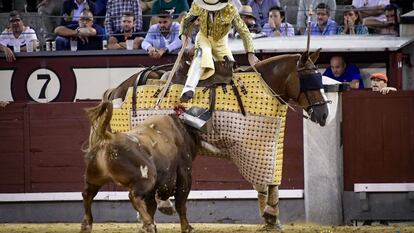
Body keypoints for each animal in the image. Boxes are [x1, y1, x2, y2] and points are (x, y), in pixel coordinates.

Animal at [80, 100, 201, 233]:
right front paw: (187, 228)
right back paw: (148, 224)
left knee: (87, 194)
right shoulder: (185, 174)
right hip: (147, 178)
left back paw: (86, 225)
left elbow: (151, 206)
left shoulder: (154, 189)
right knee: (134, 196)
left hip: (94, 179)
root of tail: (109, 137)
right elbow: (180, 203)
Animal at [101, 48, 330, 229]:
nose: (324, 114)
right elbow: (265, 183)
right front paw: (270, 216)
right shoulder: (253, 149)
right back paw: (158, 210)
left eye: (319, 79)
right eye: (308, 80)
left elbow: (270, 183)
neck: (265, 87)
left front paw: (271, 219)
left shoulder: (269, 146)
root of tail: (118, 88)